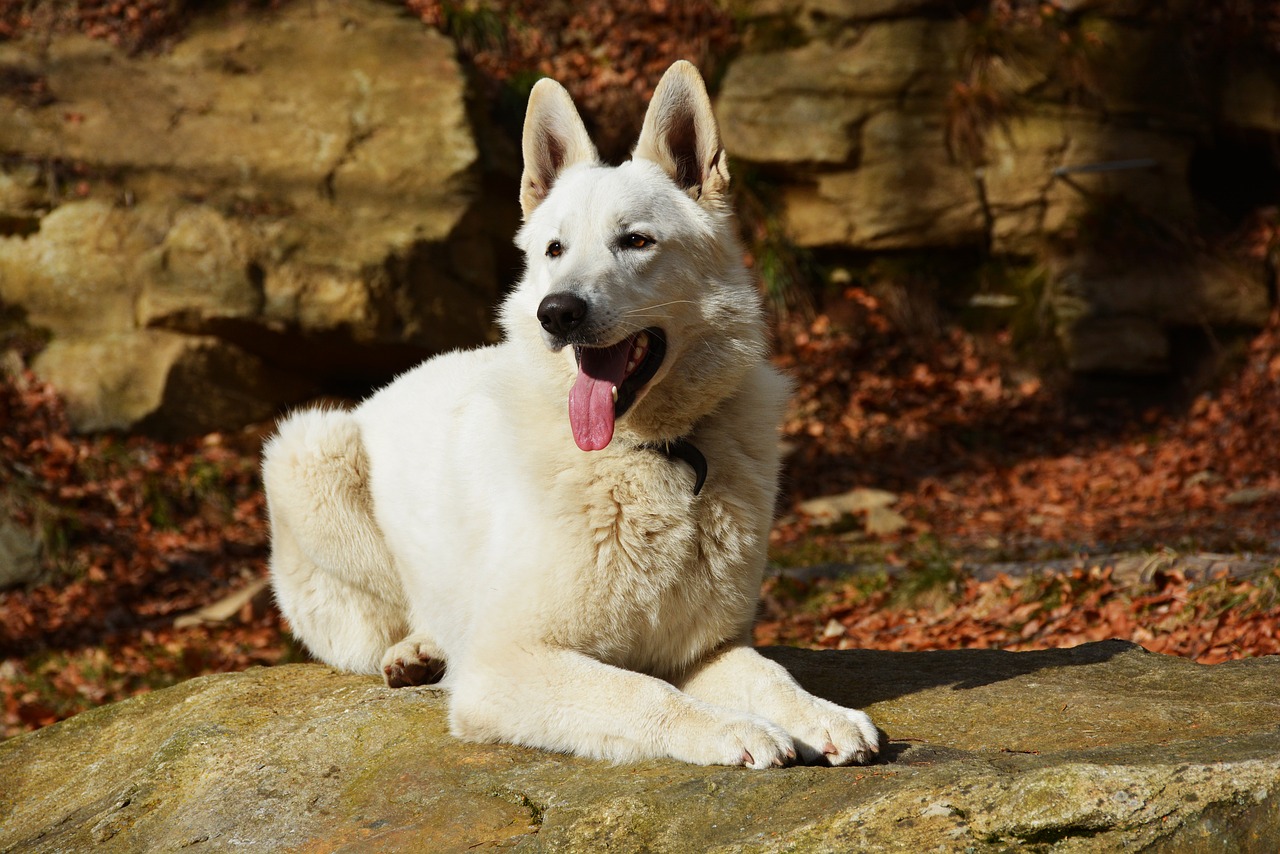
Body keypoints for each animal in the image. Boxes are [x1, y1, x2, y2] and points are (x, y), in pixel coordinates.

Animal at [259, 60, 880, 768]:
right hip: (310, 450)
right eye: (554, 249)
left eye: (636, 241)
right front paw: (736, 731)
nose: (556, 312)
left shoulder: (708, 648)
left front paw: (822, 715)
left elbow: (773, 677)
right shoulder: (508, 669)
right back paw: (420, 650)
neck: (652, 454)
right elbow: (646, 694)